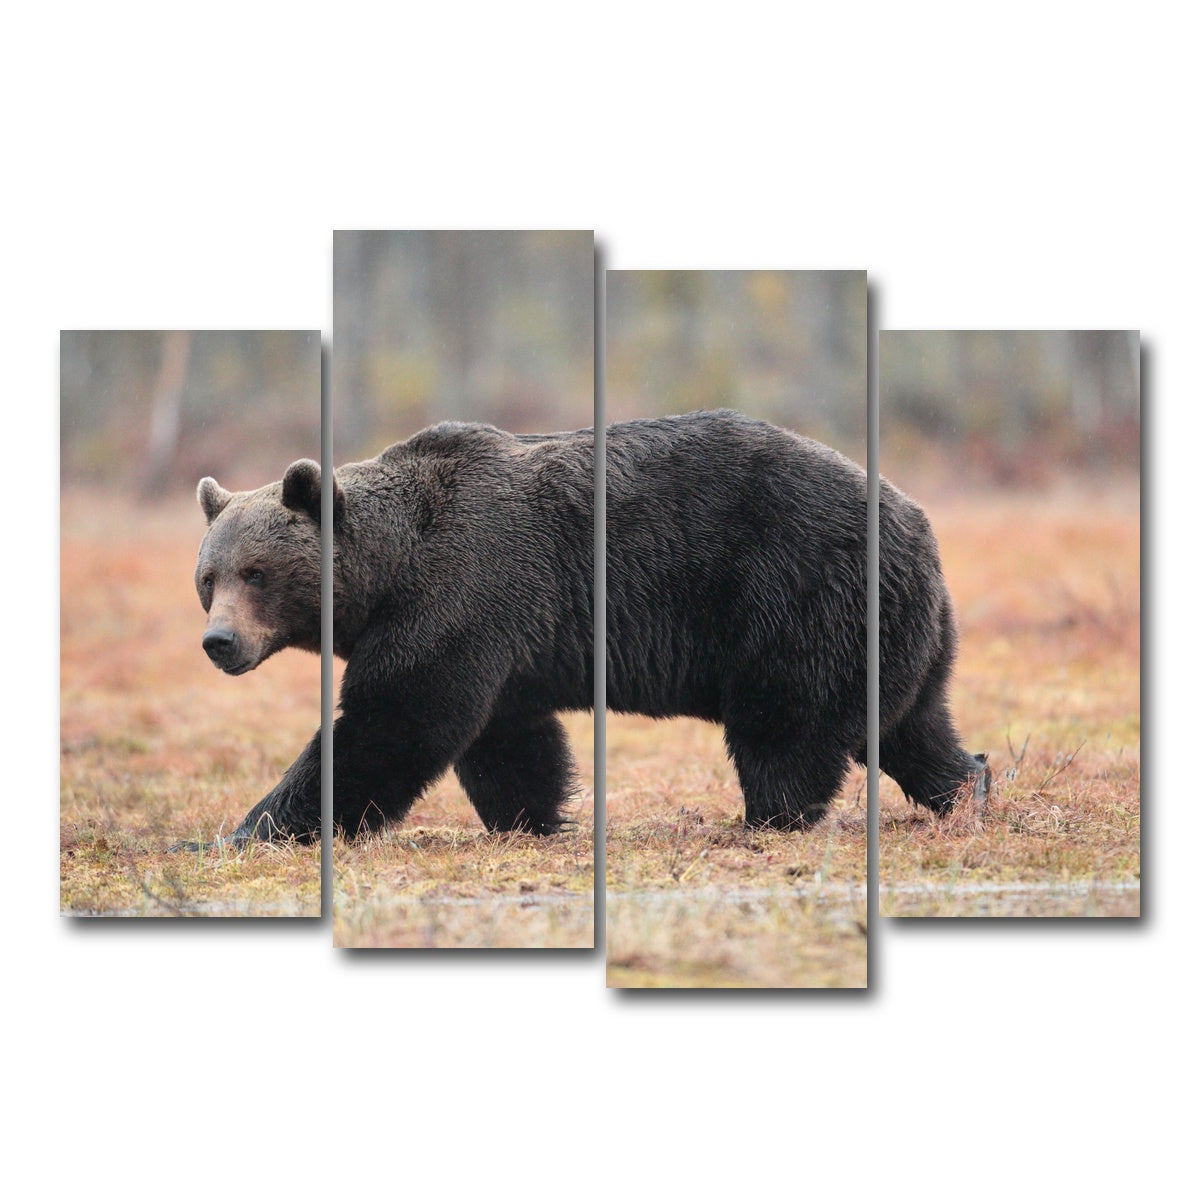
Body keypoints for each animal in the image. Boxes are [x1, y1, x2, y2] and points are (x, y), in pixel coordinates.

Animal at [177, 421, 594, 848]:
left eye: (255, 573)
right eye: (208, 578)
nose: (219, 641)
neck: (389, 570)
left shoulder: (464, 592)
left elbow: (392, 720)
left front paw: (233, 835)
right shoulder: (501, 637)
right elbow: (510, 742)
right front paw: (531, 819)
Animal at [605, 409, 988, 829]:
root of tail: (916, 523)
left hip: (801, 607)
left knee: (785, 725)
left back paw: (771, 818)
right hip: (907, 638)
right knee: (914, 728)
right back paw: (967, 790)